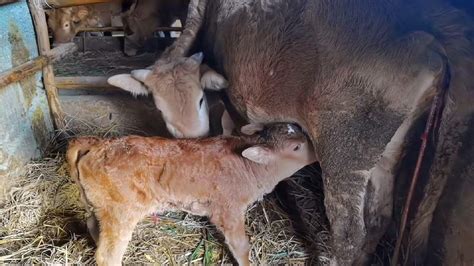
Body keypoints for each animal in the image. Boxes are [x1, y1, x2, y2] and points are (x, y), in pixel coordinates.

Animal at [66, 123, 316, 266]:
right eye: (296, 148)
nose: (317, 150)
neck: (249, 166)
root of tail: (99, 143)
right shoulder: (228, 211)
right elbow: (241, 247)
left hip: (98, 206)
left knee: (93, 227)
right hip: (120, 213)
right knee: (107, 256)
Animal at [106, 0, 474, 264]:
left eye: (200, 100)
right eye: (160, 109)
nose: (127, 46)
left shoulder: (235, 99)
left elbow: (240, 132)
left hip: (345, 151)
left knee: (349, 233)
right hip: (387, 150)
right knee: (380, 216)